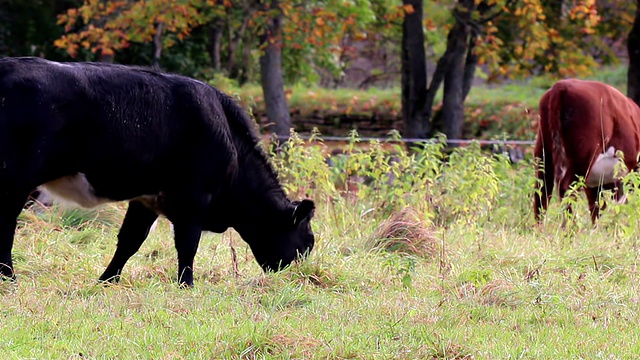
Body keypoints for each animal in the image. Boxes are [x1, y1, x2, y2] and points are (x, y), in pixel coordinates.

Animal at [0, 57, 316, 286]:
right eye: (308, 242)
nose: (296, 276)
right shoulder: (194, 197)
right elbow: (187, 245)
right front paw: (186, 285)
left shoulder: (147, 198)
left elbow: (130, 240)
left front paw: (107, 280)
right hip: (15, 180)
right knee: (6, 226)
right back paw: (9, 278)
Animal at [532, 79, 640, 222]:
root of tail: (561, 85)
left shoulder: (596, 185)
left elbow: (597, 209)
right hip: (584, 157)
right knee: (567, 188)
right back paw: (569, 226)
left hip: (544, 153)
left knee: (542, 191)